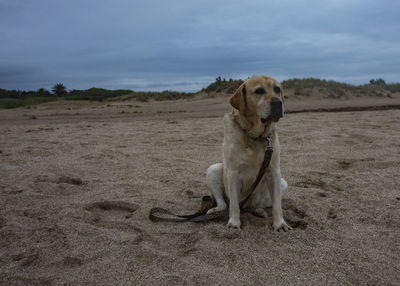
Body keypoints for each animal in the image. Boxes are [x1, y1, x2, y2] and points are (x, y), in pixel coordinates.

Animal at [206, 75, 290, 231]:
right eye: (259, 91)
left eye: (277, 89)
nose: (278, 102)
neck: (255, 136)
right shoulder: (233, 173)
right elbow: (233, 205)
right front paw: (234, 223)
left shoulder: (274, 172)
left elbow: (277, 205)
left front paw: (280, 223)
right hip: (213, 169)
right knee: (224, 204)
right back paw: (216, 210)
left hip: (282, 183)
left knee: (259, 205)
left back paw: (258, 211)